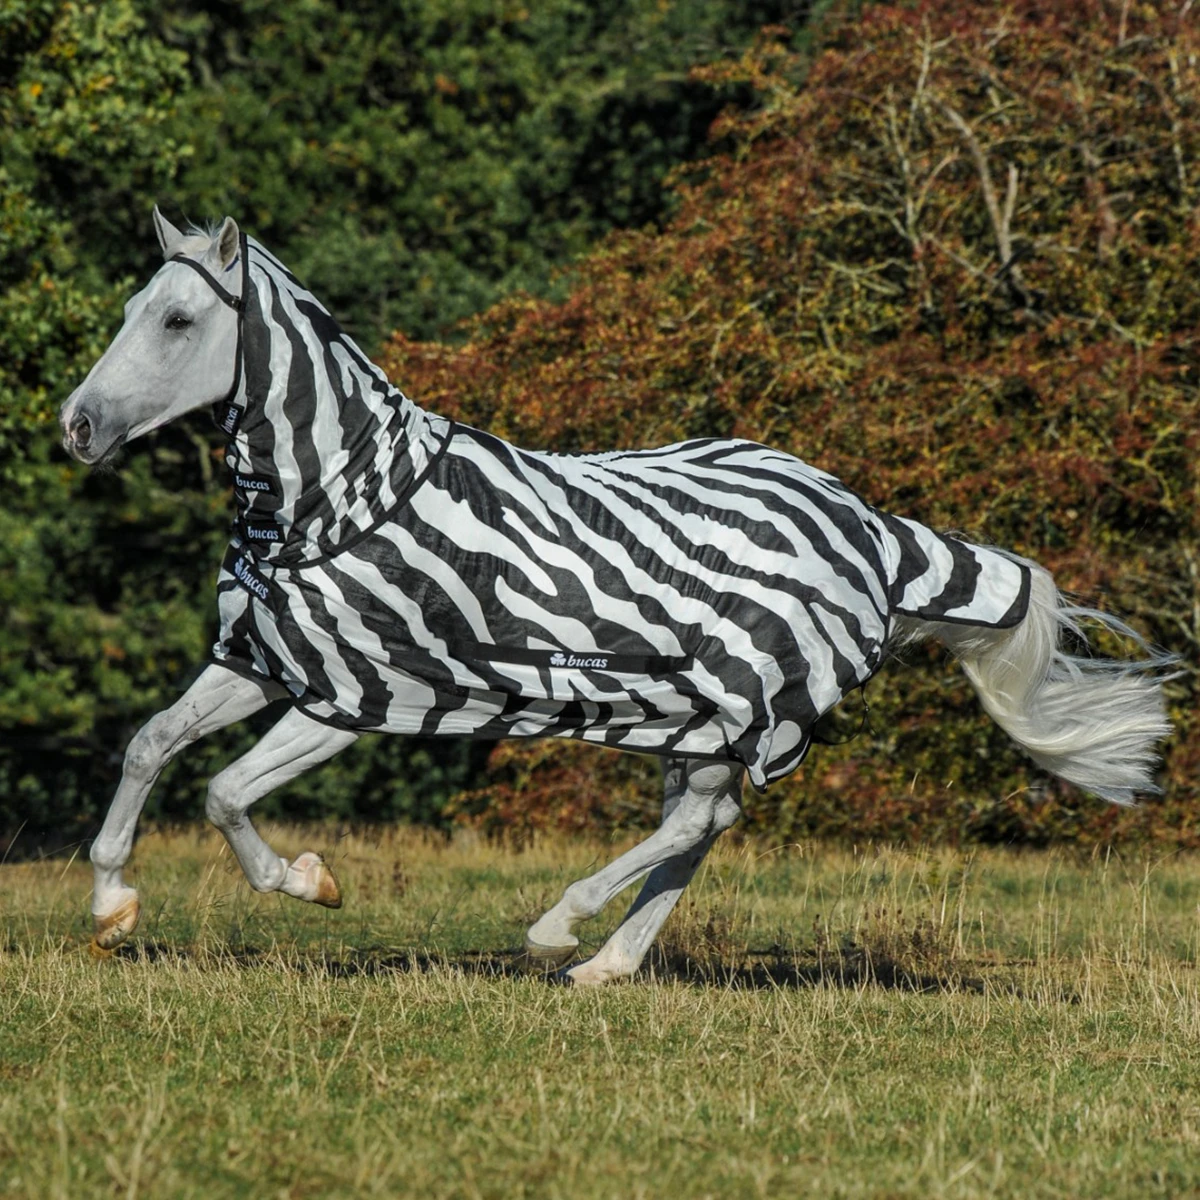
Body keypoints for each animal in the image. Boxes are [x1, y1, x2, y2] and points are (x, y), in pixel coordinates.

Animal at [58, 211, 1174, 985]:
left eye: (178, 319)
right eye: (128, 310)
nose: (78, 426)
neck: (337, 497)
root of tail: (872, 527)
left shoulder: (357, 694)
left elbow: (222, 792)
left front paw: (309, 881)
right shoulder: (260, 664)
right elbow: (151, 748)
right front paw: (113, 906)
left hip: (743, 702)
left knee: (697, 821)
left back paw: (559, 930)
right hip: (702, 716)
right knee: (706, 823)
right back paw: (606, 964)